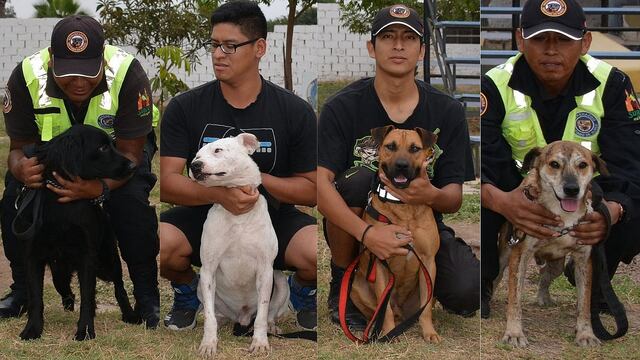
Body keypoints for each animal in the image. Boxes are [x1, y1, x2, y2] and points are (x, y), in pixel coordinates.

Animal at [13, 124, 141, 340]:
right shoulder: (32, 256)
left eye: (112, 144)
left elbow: (87, 296)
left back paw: (130, 315)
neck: (59, 207)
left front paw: (85, 331)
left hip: (107, 262)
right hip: (60, 271)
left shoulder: (87, 256)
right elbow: (36, 297)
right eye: (102, 148)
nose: (133, 166)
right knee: (66, 289)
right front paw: (32, 330)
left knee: (119, 287)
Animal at [189, 134, 288, 358]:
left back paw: (272, 327)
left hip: (280, 281)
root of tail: (241, 318)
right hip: (200, 285)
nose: (194, 165)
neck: (238, 216)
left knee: (269, 314)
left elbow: (262, 313)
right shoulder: (208, 270)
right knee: (214, 312)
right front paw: (209, 343)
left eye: (217, 150)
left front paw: (260, 342)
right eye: (197, 155)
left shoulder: (265, 270)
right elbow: (209, 316)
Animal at [348, 125, 442, 342]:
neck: (403, 204)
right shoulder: (381, 262)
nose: (401, 165)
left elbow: (425, 309)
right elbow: (385, 310)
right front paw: (388, 332)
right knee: (380, 311)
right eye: (391, 146)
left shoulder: (428, 261)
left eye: (415, 148)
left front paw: (429, 332)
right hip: (357, 289)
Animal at [498, 141, 608, 346]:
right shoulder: (519, 254)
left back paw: (544, 297)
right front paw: (514, 333)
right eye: (554, 164)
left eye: (583, 165)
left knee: (545, 275)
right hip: (503, 257)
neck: (563, 217)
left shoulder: (583, 261)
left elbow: (584, 303)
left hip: (558, 265)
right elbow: (515, 298)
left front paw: (586, 334)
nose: (572, 189)